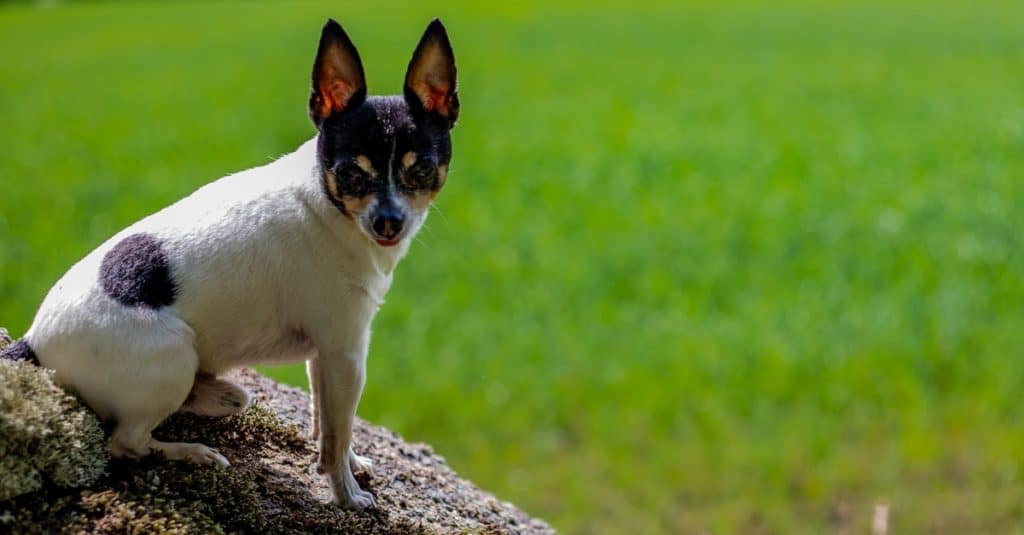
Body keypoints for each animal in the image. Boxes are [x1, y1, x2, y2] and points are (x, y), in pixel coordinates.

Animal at [0, 17, 456, 508]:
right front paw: (346, 495)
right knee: (126, 442)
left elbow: (329, 425)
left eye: (420, 170)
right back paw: (192, 451)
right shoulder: (347, 353)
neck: (328, 205)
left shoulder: (326, 357)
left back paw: (209, 395)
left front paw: (347, 464)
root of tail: (34, 341)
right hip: (172, 357)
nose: (389, 221)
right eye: (352, 173)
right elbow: (337, 433)